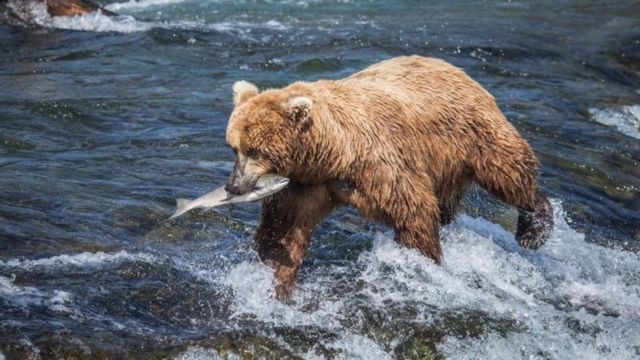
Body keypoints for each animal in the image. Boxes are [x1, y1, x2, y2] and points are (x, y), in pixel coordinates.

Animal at [222, 54, 552, 300]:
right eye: (234, 147)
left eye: (254, 150)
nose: (233, 186)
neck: (334, 153)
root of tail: (452, 67)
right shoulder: (305, 184)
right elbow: (283, 230)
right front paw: (275, 282)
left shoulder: (381, 163)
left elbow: (414, 211)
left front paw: (425, 262)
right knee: (449, 203)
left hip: (473, 135)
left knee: (508, 172)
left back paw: (533, 228)